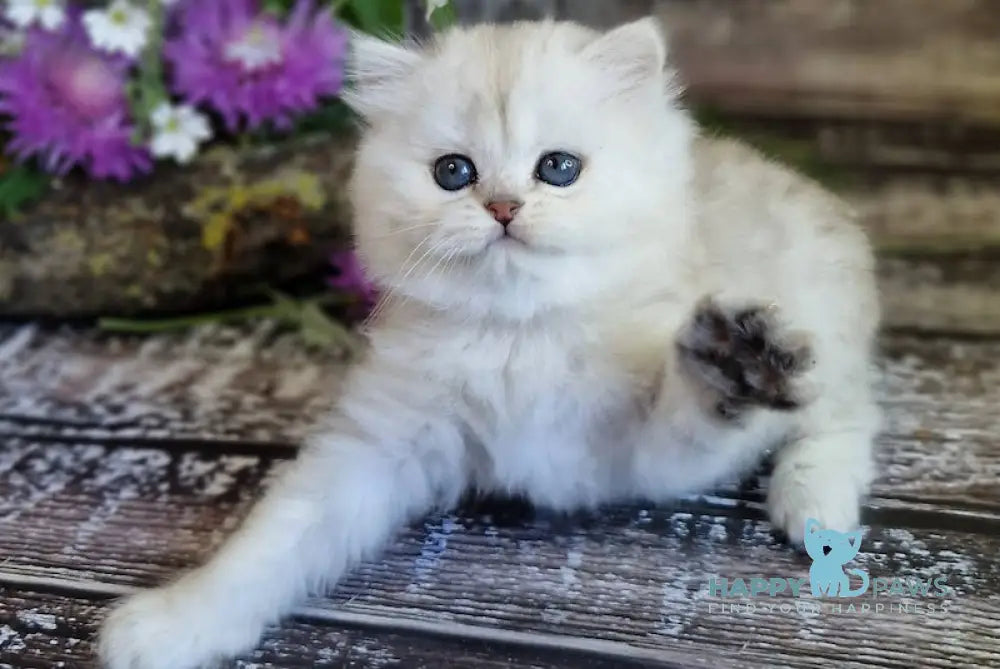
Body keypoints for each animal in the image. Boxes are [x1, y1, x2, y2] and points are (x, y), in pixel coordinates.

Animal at [99, 17, 876, 668]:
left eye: (558, 167)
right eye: (454, 172)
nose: (502, 207)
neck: (517, 333)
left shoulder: (641, 454)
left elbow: (695, 411)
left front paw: (729, 363)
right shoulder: (374, 448)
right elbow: (273, 542)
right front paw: (176, 622)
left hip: (826, 322)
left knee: (845, 414)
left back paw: (813, 499)